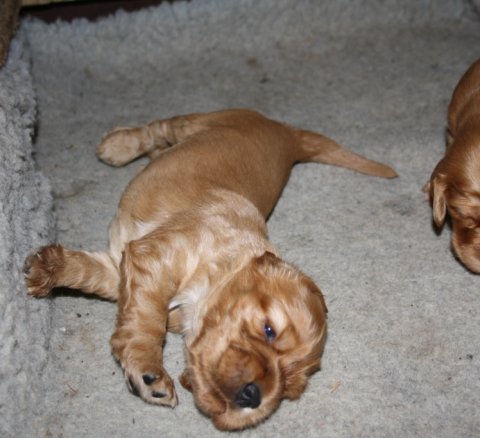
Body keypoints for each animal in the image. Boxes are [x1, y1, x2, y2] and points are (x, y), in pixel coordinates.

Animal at [24, 109, 396, 430]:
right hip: (201, 121)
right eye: (269, 330)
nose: (254, 395)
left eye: (289, 385)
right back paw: (117, 146)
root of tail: (287, 136)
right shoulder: (156, 255)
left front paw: (46, 267)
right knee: (157, 128)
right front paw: (148, 372)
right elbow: (147, 319)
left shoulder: (119, 268)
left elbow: (87, 272)